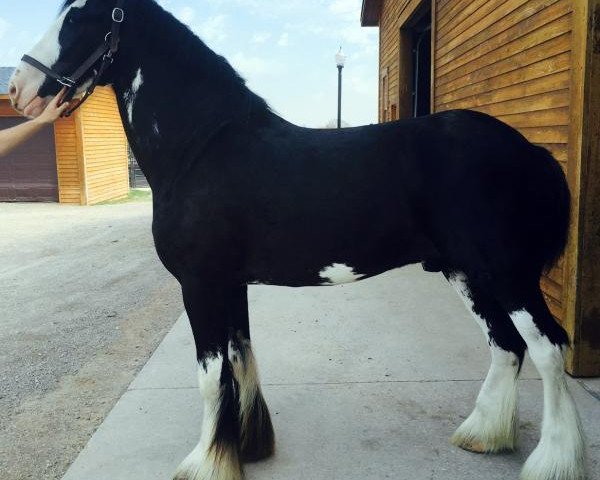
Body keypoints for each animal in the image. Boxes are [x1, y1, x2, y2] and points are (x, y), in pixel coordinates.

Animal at [9, 0, 584, 480]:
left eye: (78, 18)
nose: (18, 87)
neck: (202, 148)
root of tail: (528, 148)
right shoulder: (228, 283)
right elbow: (241, 358)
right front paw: (247, 446)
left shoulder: (200, 283)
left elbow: (211, 375)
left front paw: (205, 464)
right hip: (466, 272)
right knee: (506, 346)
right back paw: (482, 435)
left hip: (506, 274)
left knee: (548, 347)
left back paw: (553, 462)